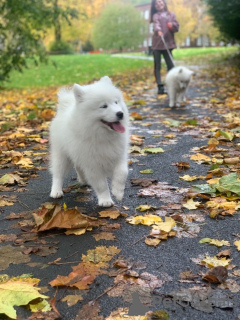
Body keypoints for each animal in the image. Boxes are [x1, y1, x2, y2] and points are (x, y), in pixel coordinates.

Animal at [49, 77, 130, 208]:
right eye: (103, 106)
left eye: (116, 102)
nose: (120, 113)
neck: (102, 136)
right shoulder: (92, 164)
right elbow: (101, 185)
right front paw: (105, 200)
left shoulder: (118, 155)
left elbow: (123, 173)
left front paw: (118, 192)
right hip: (61, 154)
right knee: (57, 173)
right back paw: (56, 191)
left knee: (78, 167)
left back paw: (83, 180)